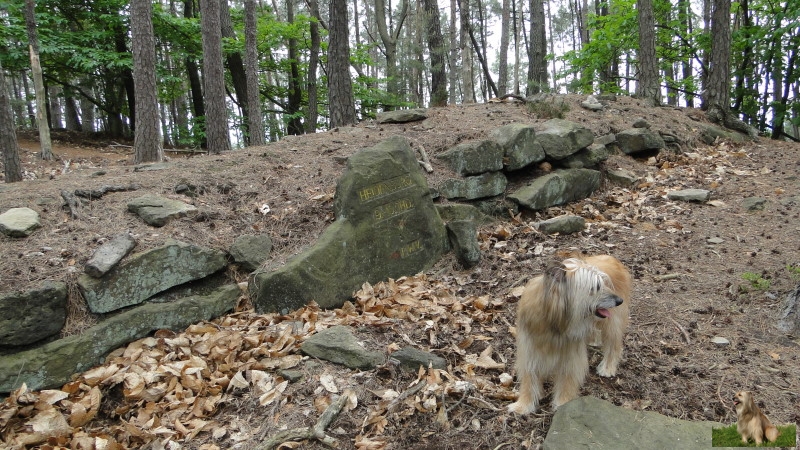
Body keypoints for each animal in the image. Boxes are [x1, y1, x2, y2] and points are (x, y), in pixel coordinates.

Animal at [506, 253, 632, 414]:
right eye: (596, 287)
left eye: (603, 283)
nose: (619, 300)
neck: (554, 324)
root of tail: (610, 258)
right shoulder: (530, 349)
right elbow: (529, 378)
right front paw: (523, 405)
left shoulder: (571, 354)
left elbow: (567, 379)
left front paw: (563, 404)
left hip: (612, 324)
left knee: (614, 346)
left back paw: (608, 367)